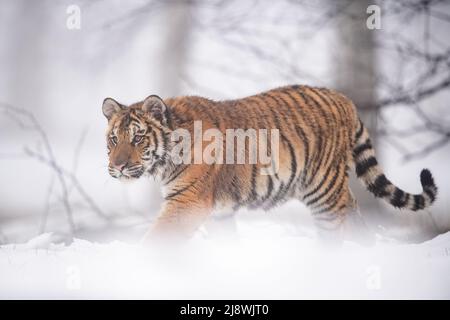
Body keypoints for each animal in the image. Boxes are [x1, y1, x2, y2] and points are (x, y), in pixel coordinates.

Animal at [103, 84, 440, 242]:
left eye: (138, 138)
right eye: (114, 139)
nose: (117, 167)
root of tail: (343, 99)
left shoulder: (188, 200)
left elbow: (156, 240)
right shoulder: (218, 212)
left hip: (323, 190)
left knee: (335, 227)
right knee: (353, 208)